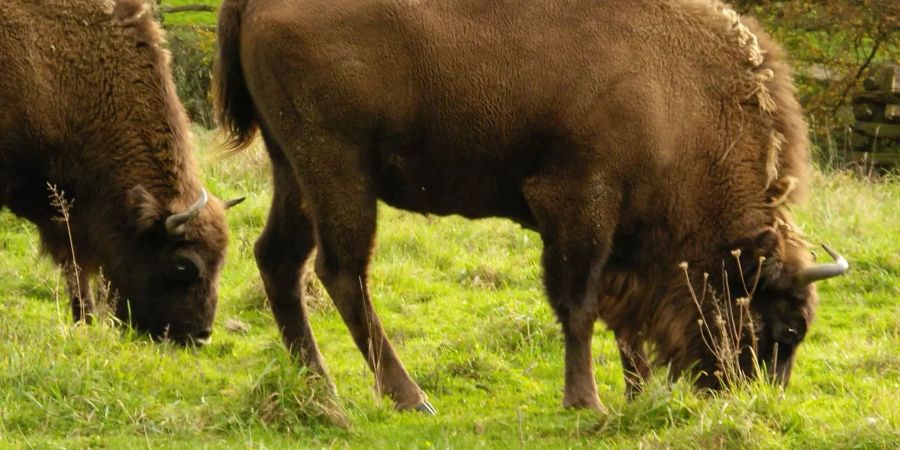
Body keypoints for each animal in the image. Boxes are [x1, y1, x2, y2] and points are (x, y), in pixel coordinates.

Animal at [214, 0, 848, 412]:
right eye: (784, 327)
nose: (753, 399)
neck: (682, 98)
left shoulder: (621, 235)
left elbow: (621, 319)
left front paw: (636, 393)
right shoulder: (579, 203)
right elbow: (579, 305)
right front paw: (587, 402)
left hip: (293, 170)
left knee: (279, 259)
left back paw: (319, 386)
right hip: (338, 168)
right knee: (342, 273)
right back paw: (409, 397)